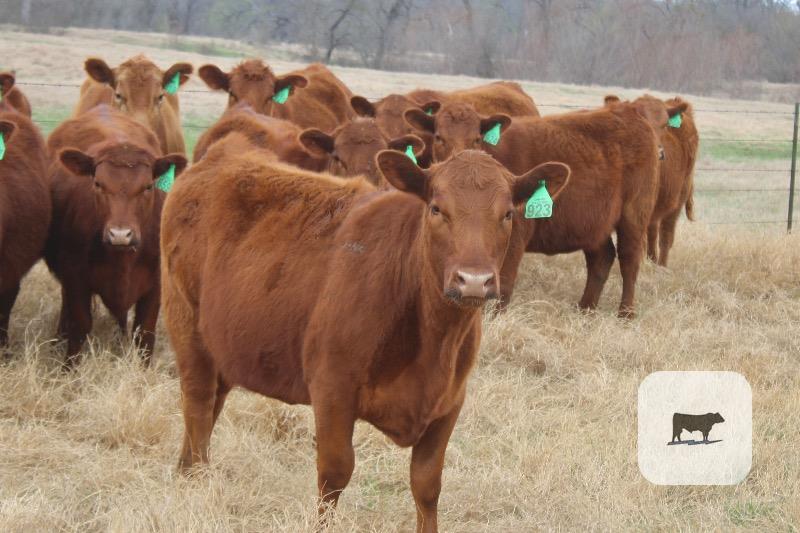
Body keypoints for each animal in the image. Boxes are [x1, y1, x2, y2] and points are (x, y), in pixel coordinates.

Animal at [46, 105, 186, 367]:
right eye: (98, 184)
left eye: (148, 186)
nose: (120, 235)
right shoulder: (75, 277)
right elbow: (79, 326)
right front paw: (69, 369)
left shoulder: (156, 284)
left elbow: (145, 332)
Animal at [161, 139, 570, 532]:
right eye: (437, 208)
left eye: (508, 214)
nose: (473, 280)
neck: (435, 341)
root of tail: (217, 158)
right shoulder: (332, 388)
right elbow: (335, 473)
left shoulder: (451, 401)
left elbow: (427, 483)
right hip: (185, 322)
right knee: (198, 402)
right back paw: (196, 479)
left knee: (211, 405)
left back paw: (186, 471)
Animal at [605, 95, 698, 266]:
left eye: (665, 125)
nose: (657, 151)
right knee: (653, 232)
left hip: (678, 199)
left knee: (666, 235)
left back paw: (661, 265)